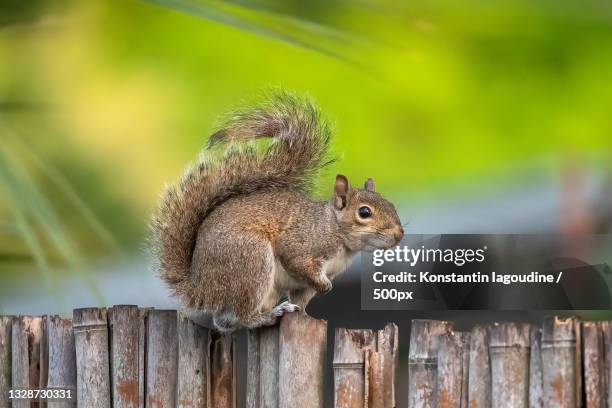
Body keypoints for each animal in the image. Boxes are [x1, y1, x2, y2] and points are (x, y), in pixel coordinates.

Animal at [151, 91, 404, 334]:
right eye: (364, 212)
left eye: (392, 205)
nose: (399, 234)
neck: (334, 228)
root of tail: (198, 287)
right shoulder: (303, 247)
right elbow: (297, 261)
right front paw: (324, 288)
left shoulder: (305, 286)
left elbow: (302, 300)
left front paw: (305, 315)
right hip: (250, 261)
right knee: (244, 315)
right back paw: (270, 315)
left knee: (224, 321)